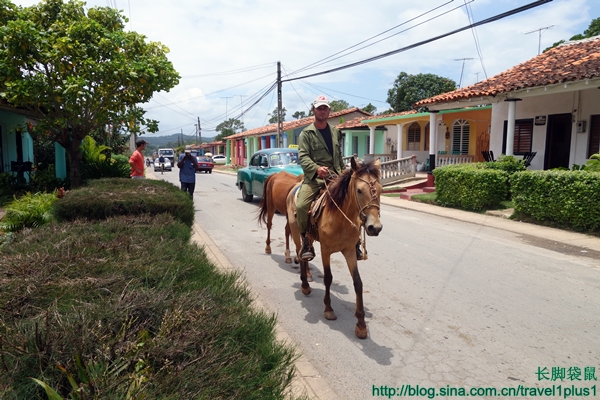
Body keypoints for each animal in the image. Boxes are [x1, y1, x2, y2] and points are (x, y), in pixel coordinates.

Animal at [288, 158, 382, 340]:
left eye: (381, 190)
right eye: (359, 190)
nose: (375, 228)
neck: (340, 218)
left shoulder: (349, 251)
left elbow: (358, 282)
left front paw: (361, 324)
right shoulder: (326, 250)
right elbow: (328, 278)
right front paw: (328, 309)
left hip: (310, 236)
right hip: (295, 231)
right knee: (299, 254)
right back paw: (305, 285)